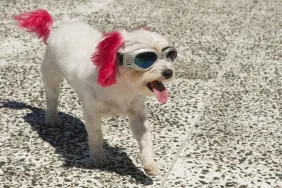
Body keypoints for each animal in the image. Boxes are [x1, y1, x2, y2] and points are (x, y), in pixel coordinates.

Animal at [13, 9, 176, 176]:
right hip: (52, 76)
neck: (123, 86)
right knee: (52, 97)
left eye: (170, 56)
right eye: (145, 59)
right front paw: (98, 157)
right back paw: (52, 118)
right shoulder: (92, 113)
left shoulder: (137, 114)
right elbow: (96, 135)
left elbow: (145, 138)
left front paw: (150, 163)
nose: (168, 72)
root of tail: (60, 27)